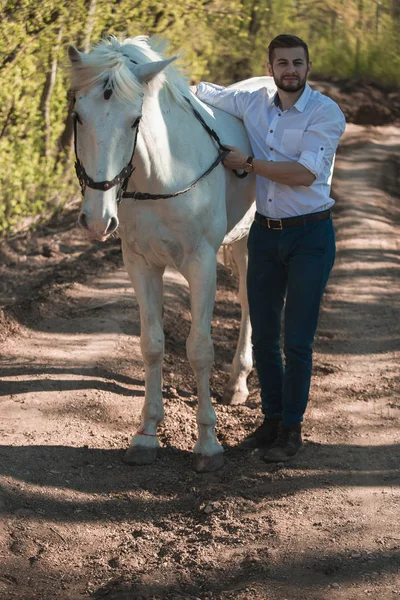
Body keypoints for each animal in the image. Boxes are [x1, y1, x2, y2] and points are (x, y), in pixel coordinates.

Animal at [69, 36, 262, 474]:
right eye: (78, 116)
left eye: (133, 120)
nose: (96, 219)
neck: (163, 175)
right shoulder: (140, 264)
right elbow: (152, 344)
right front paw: (145, 435)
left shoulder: (201, 264)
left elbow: (199, 349)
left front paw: (208, 444)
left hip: (248, 241)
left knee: (250, 302)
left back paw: (239, 382)